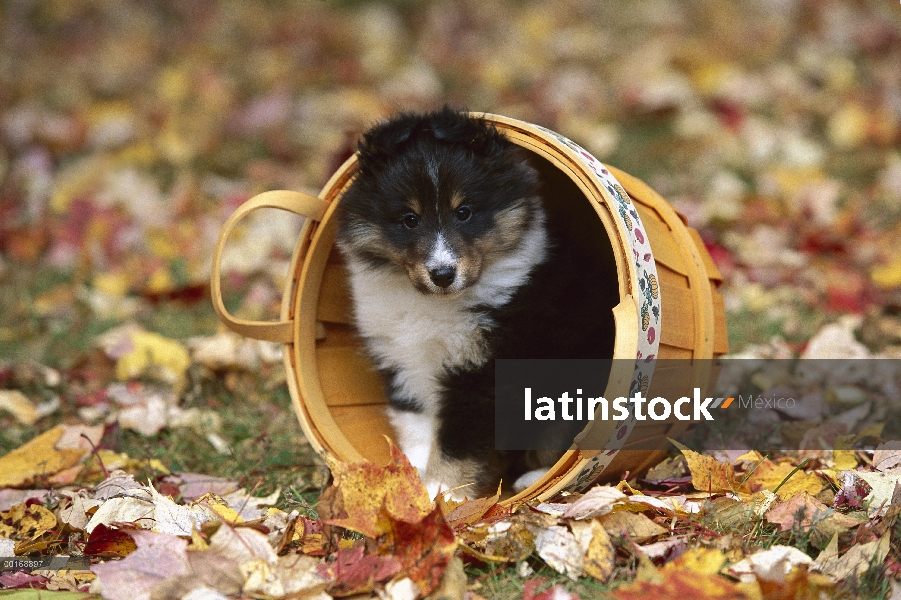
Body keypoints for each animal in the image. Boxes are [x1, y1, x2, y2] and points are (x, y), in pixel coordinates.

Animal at [334, 109, 616, 502]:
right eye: (410, 219)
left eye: (464, 212)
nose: (442, 274)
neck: (434, 304)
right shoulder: (401, 357)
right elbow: (417, 424)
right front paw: (415, 482)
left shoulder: (484, 370)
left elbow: (458, 441)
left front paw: (444, 493)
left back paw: (532, 479)